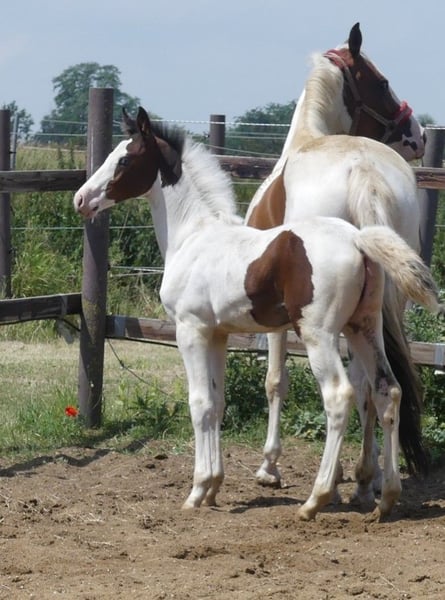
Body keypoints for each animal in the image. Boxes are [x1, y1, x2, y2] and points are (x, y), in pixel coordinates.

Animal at [73, 107, 443, 520]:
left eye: (124, 160)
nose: (81, 199)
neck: (194, 237)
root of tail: (359, 239)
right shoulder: (217, 334)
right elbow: (217, 403)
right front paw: (213, 488)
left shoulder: (190, 330)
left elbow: (199, 404)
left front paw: (197, 491)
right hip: (364, 327)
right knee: (386, 390)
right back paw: (387, 497)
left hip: (320, 334)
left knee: (339, 395)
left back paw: (315, 499)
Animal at [245, 23, 428, 504]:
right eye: (382, 82)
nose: (419, 134)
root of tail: (363, 170)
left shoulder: (276, 312)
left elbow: (276, 380)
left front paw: (269, 467)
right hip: (382, 301)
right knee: (373, 382)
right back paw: (372, 479)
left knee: (355, 383)